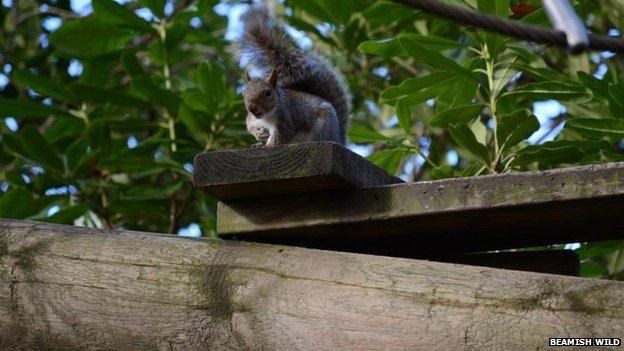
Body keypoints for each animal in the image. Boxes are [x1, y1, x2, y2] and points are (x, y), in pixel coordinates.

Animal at [238, 6, 352, 147]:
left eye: (268, 93)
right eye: (244, 94)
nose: (252, 108)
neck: (266, 117)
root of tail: (338, 139)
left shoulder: (285, 120)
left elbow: (281, 136)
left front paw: (268, 146)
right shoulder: (252, 119)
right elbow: (250, 126)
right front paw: (259, 135)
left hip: (324, 124)